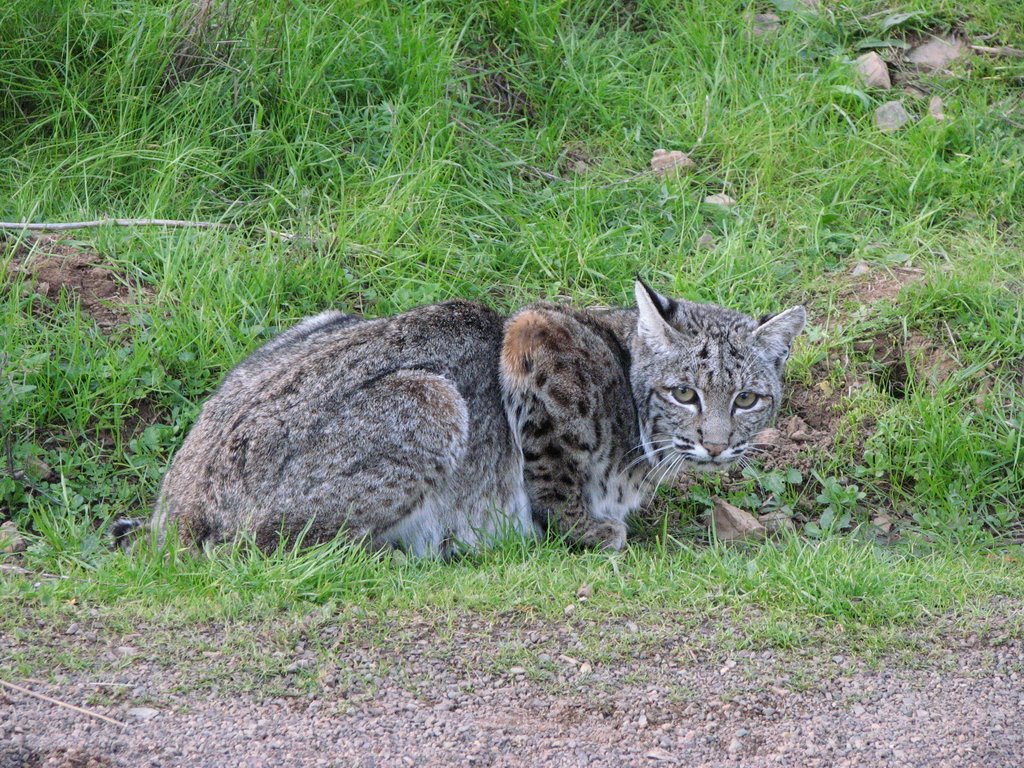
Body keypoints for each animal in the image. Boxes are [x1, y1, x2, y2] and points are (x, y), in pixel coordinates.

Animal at [119, 280, 802, 557]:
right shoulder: (534, 335)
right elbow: (550, 467)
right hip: (435, 398)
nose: (715, 446)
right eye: (685, 393)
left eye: (747, 401)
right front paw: (582, 528)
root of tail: (176, 505)